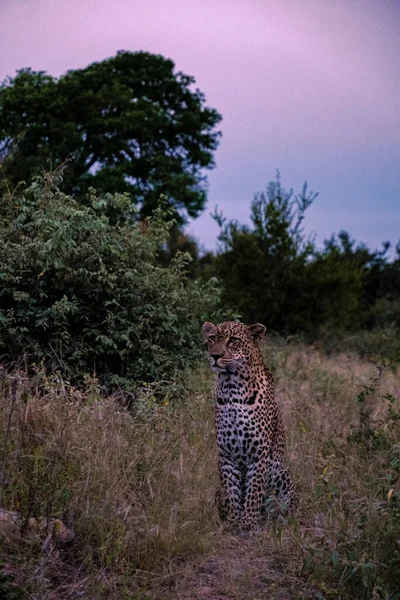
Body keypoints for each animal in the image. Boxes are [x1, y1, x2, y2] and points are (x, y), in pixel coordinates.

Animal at [202, 318, 296, 528]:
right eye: (212, 338)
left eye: (233, 340)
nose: (214, 356)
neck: (232, 389)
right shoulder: (226, 455)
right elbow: (232, 492)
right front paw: (232, 521)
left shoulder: (258, 455)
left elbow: (253, 492)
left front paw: (248, 523)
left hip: (281, 472)